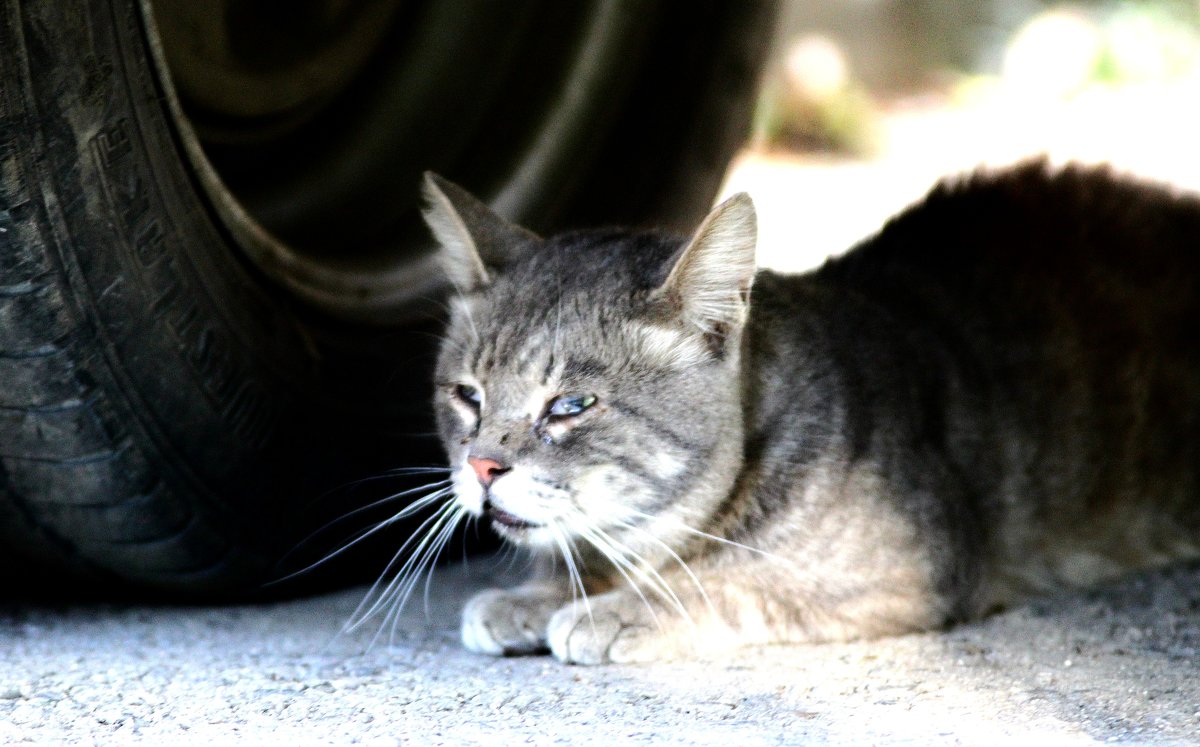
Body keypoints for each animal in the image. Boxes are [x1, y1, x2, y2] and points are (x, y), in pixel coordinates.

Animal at [417, 163, 1195, 667]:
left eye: (571, 405)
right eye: (468, 396)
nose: (481, 465)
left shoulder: (911, 566)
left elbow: (738, 582)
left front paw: (619, 606)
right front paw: (535, 593)